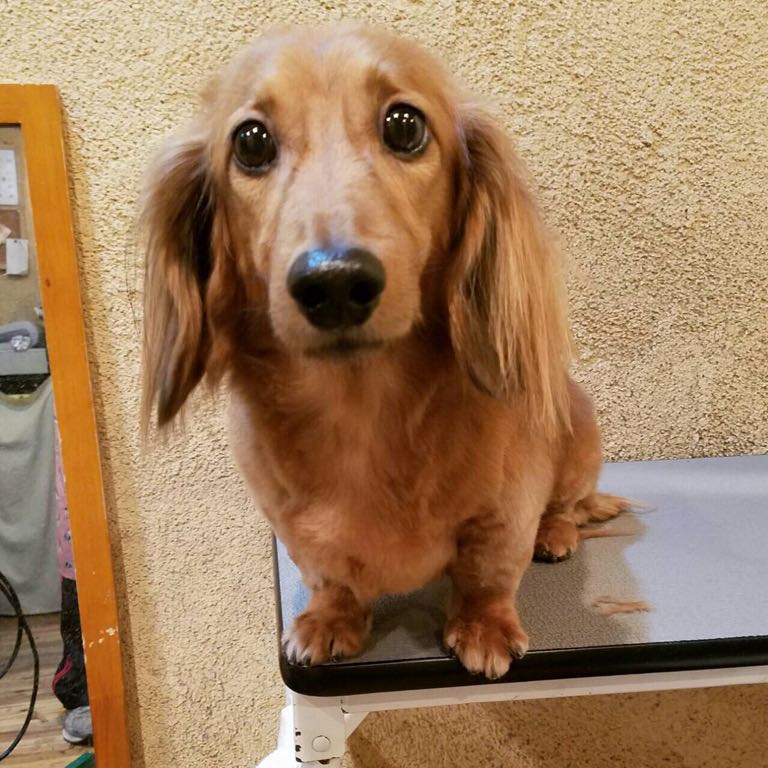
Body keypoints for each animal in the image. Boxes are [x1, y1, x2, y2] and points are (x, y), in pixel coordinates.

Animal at [141, 24, 627, 680]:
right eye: (250, 141)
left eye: (404, 125)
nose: (335, 282)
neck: (362, 408)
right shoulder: (294, 526)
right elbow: (328, 573)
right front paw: (329, 619)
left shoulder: (505, 511)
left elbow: (488, 571)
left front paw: (484, 628)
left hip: (578, 444)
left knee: (567, 506)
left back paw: (556, 534)